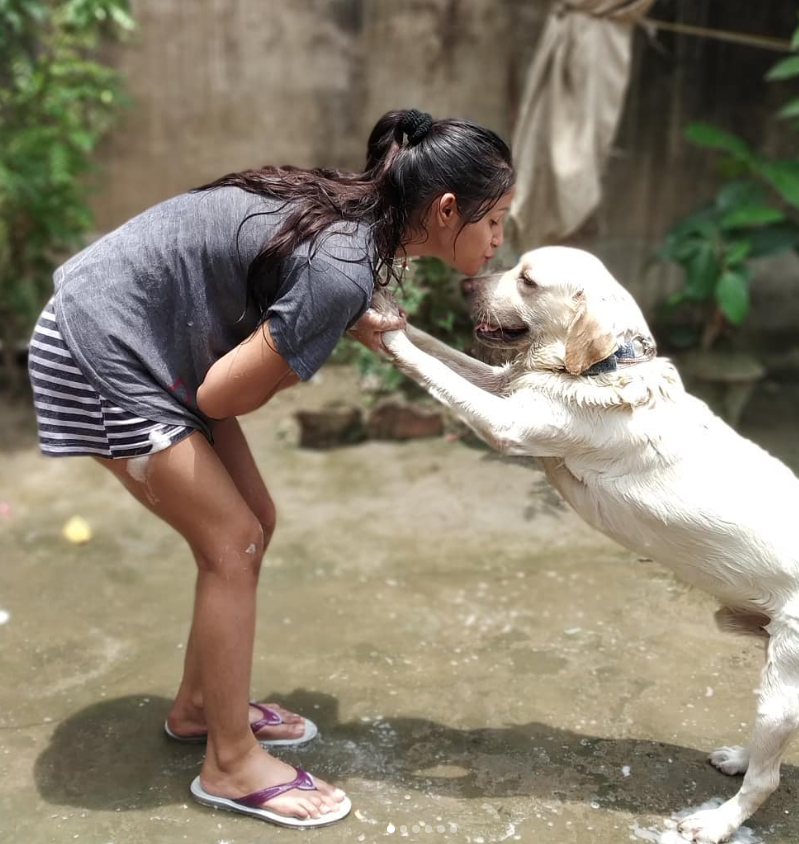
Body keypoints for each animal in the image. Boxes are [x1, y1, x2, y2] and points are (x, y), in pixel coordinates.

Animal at [376, 246, 799, 844]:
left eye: (527, 280)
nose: (464, 284)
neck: (609, 367)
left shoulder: (507, 422)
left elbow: (430, 366)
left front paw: (381, 329)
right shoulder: (508, 385)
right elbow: (442, 351)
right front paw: (388, 308)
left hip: (783, 688)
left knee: (767, 779)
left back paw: (715, 821)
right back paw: (737, 758)